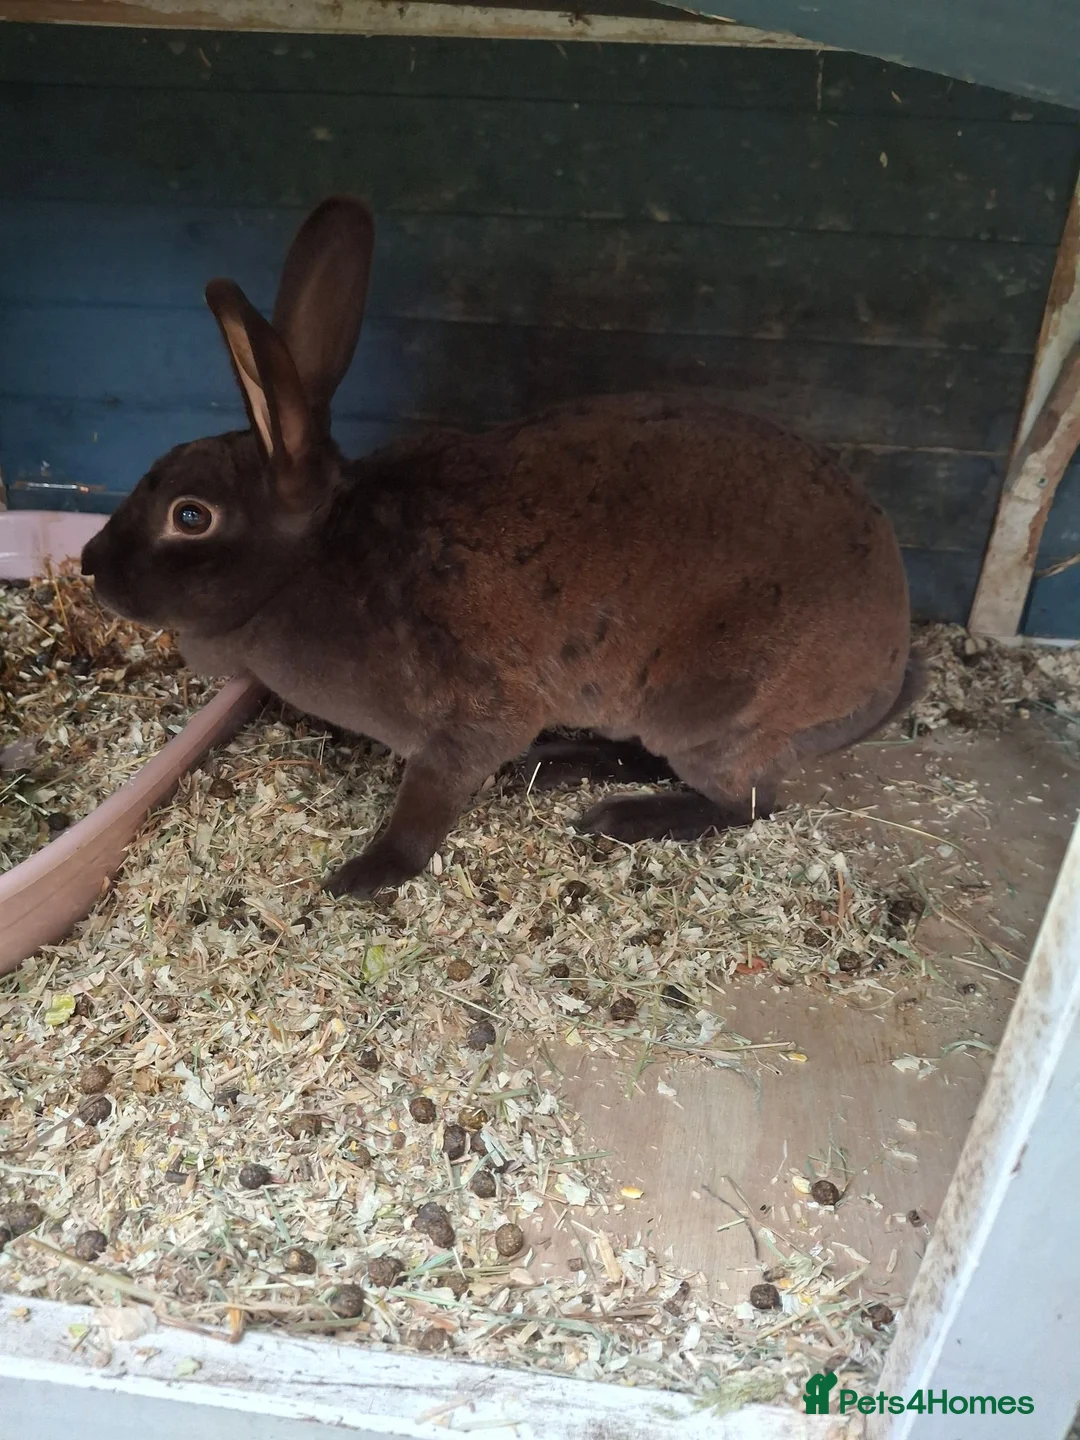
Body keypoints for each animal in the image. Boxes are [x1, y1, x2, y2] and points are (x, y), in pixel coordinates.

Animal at [80, 195, 919, 899]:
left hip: (713, 711)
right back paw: (557, 768)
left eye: (191, 516)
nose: (91, 566)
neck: (311, 559)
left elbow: (425, 807)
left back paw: (624, 817)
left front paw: (362, 876)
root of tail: (889, 660)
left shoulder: (467, 725)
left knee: (750, 801)